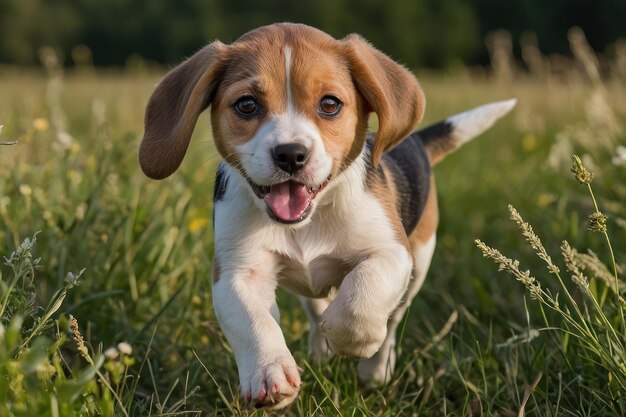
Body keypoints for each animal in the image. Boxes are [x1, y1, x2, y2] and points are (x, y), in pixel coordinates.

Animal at [139, 23, 516, 410]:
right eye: (246, 105)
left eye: (330, 104)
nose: (291, 154)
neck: (311, 218)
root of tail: (417, 142)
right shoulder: (237, 271)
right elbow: (252, 321)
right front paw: (269, 372)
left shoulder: (392, 252)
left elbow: (361, 294)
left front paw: (352, 340)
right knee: (315, 306)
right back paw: (320, 351)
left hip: (419, 263)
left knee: (391, 320)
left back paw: (373, 370)